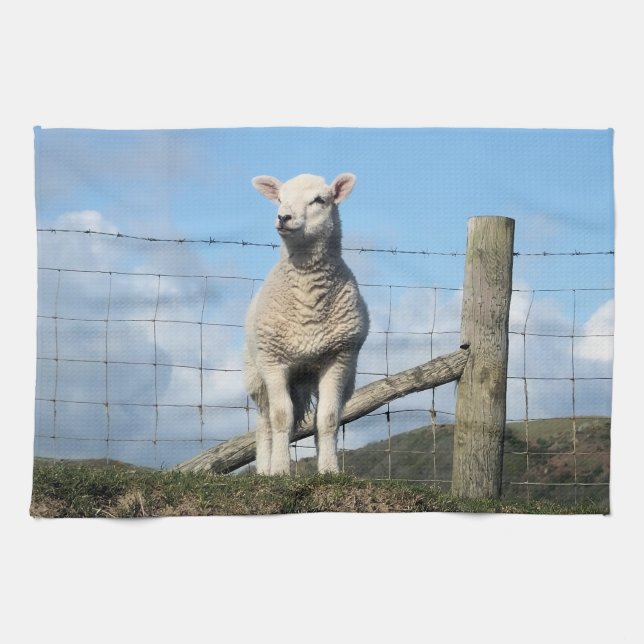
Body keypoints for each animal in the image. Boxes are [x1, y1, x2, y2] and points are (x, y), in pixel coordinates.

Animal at [244, 173, 369, 475]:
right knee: (264, 424)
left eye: (319, 200)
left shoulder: (339, 358)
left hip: (326, 377)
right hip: (257, 375)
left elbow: (328, 418)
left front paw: (329, 470)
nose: (283, 217)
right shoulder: (273, 361)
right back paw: (264, 469)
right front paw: (279, 470)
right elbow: (280, 417)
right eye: (279, 198)